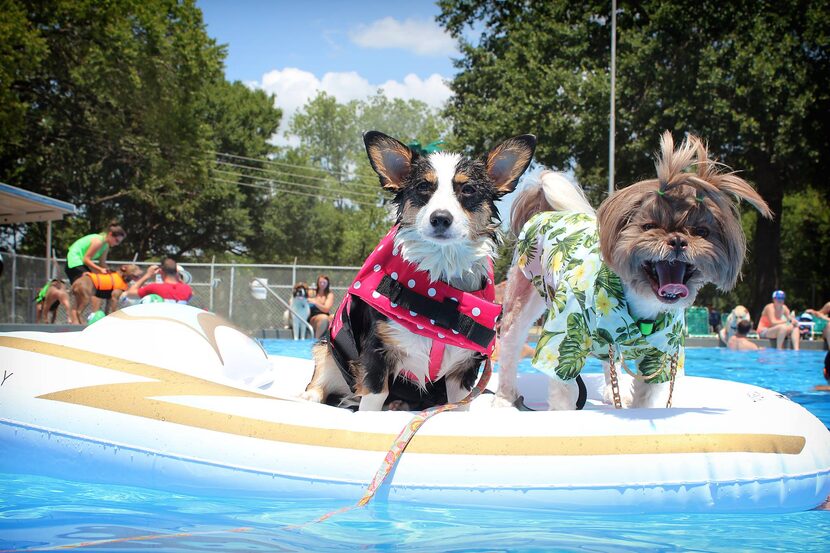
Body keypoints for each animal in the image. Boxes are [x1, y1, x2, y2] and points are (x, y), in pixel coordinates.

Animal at [302, 130, 536, 410]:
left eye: (468, 189)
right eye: (423, 187)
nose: (441, 218)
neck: (439, 276)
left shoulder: (463, 369)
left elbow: (460, 405)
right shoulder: (377, 352)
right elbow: (373, 399)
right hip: (326, 348)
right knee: (321, 376)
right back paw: (311, 396)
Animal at [494, 133, 772, 410]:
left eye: (702, 232)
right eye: (648, 226)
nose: (678, 240)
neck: (640, 300)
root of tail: (546, 212)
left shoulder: (661, 352)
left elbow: (645, 394)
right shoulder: (564, 339)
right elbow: (563, 388)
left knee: (607, 357)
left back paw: (611, 391)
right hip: (523, 293)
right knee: (510, 342)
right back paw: (505, 396)